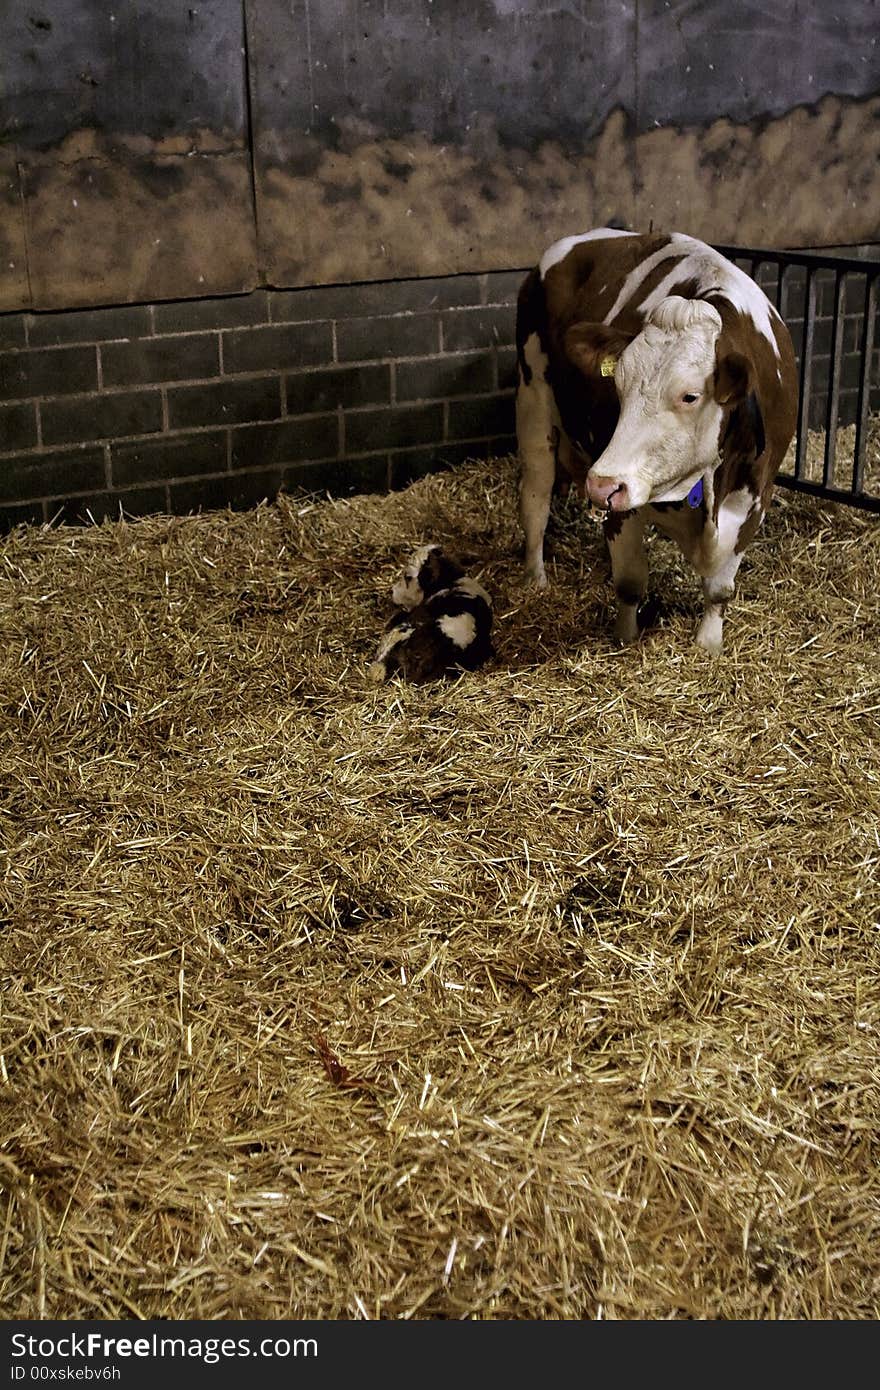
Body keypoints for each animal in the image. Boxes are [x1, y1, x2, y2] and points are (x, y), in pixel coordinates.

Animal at [514, 229, 795, 656]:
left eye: (690, 396)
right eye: (617, 386)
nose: (601, 485)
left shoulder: (755, 496)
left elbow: (720, 587)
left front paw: (708, 645)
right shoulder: (621, 499)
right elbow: (630, 581)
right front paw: (625, 636)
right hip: (533, 402)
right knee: (536, 498)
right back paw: (536, 578)